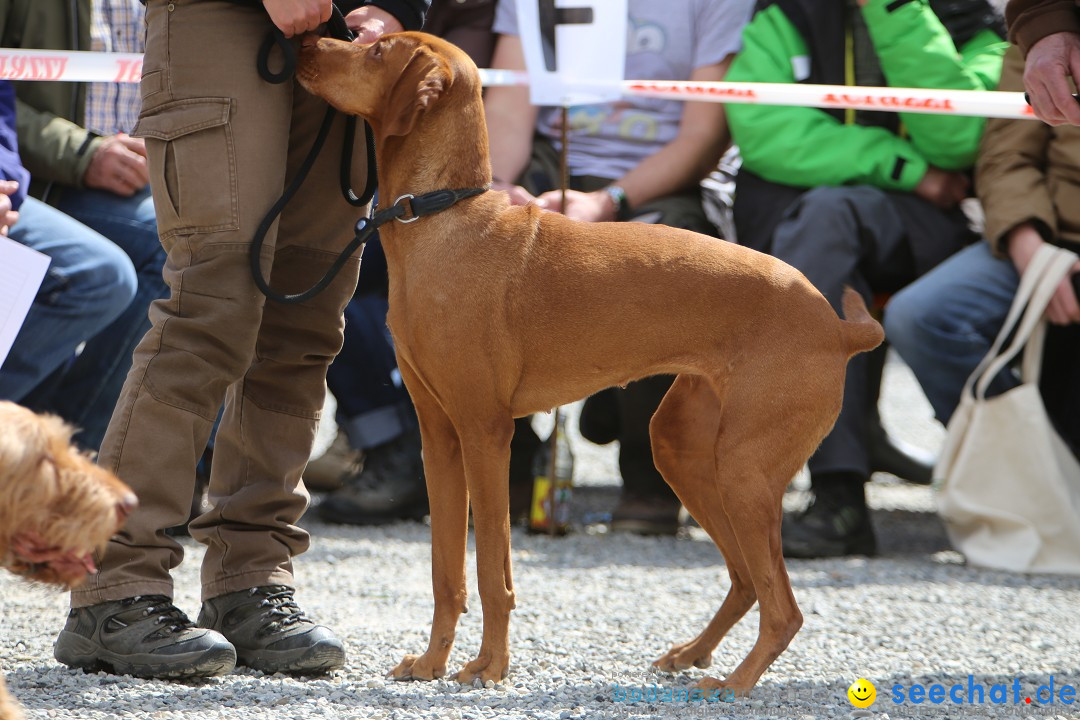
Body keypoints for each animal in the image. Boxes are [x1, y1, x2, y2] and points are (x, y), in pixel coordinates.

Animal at [293, 35, 876, 699]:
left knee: (784, 608)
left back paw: (734, 681)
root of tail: (835, 324)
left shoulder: (486, 434)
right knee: (747, 580)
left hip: (744, 470)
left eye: (375, 48)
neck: (443, 221)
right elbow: (448, 572)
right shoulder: (439, 438)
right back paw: (691, 654)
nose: (305, 41)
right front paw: (432, 663)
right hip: (685, 449)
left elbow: (491, 572)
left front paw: (489, 667)